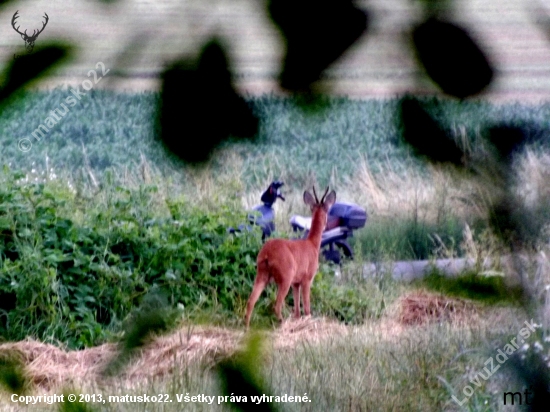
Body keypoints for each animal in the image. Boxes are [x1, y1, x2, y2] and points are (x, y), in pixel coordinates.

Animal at [246, 187, 336, 328]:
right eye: (327, 210)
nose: (327, 224)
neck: (312, 244)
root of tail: (267, 253)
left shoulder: (296, 283)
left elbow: (297, 310)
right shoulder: (307, 279)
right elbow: (306, 308)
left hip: (262, 275)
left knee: (251, 301)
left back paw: (247, 327)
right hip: (285, 278)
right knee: (276, 305)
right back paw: (282, 323)